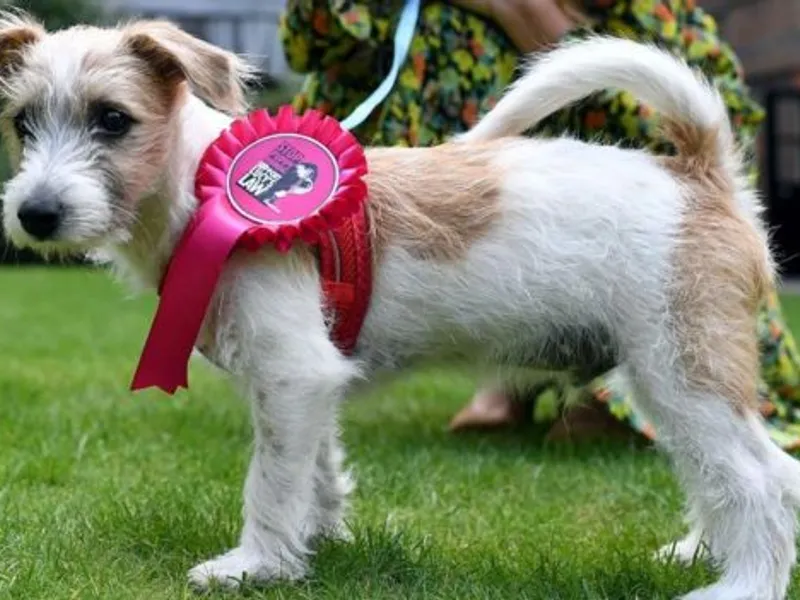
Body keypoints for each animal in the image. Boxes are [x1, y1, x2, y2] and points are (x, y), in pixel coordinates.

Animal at [1, 10, 800, 600]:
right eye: (22, 124)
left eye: (112, 120)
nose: (35, 214)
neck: (205, 186)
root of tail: (700, 171)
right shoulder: (308, 382)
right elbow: (316, 469)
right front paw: (316, 544)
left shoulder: (291, 375)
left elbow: (271, 479)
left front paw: (255, 566)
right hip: (667, 379)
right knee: (746, 477)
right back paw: (699, 552)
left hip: (684, 371)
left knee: (760, 479)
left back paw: (741, 586)